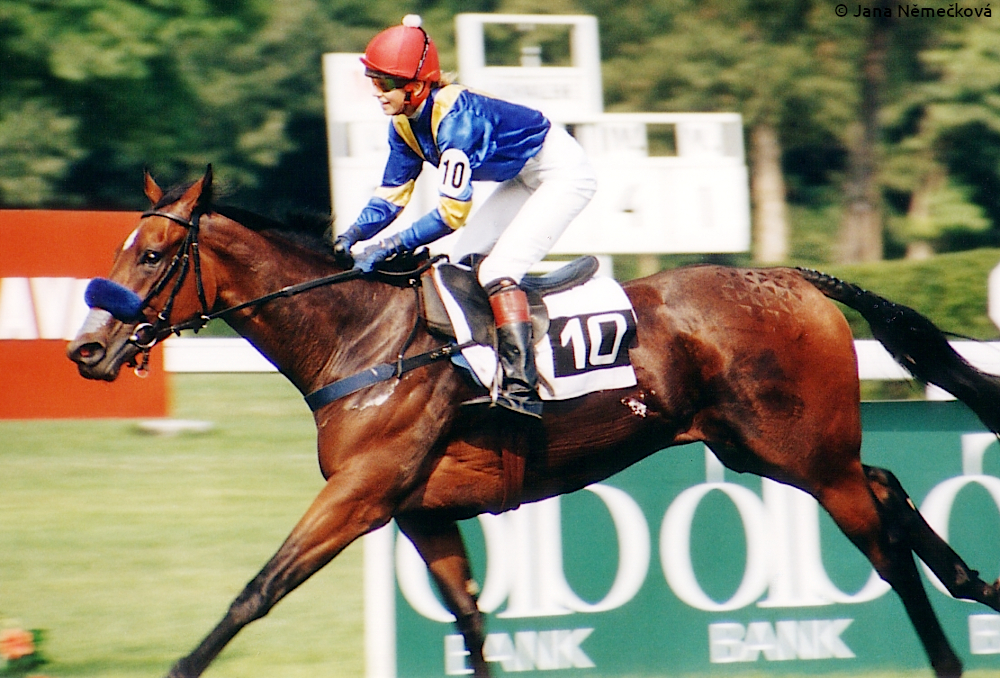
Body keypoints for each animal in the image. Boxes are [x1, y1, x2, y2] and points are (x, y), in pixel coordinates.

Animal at [67, 167, 1000, 678]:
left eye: (154, 255)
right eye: (120, 248)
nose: (87, 350)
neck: (361, 338)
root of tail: (796, 276)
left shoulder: (362, 496)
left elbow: (257, 589)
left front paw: (180, 665)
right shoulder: (421, 510)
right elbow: (473, 624)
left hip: (804, 453)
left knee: (882, 541)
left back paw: (950, 650)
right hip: (764, 448)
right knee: (886, 485)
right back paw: (975, 583)